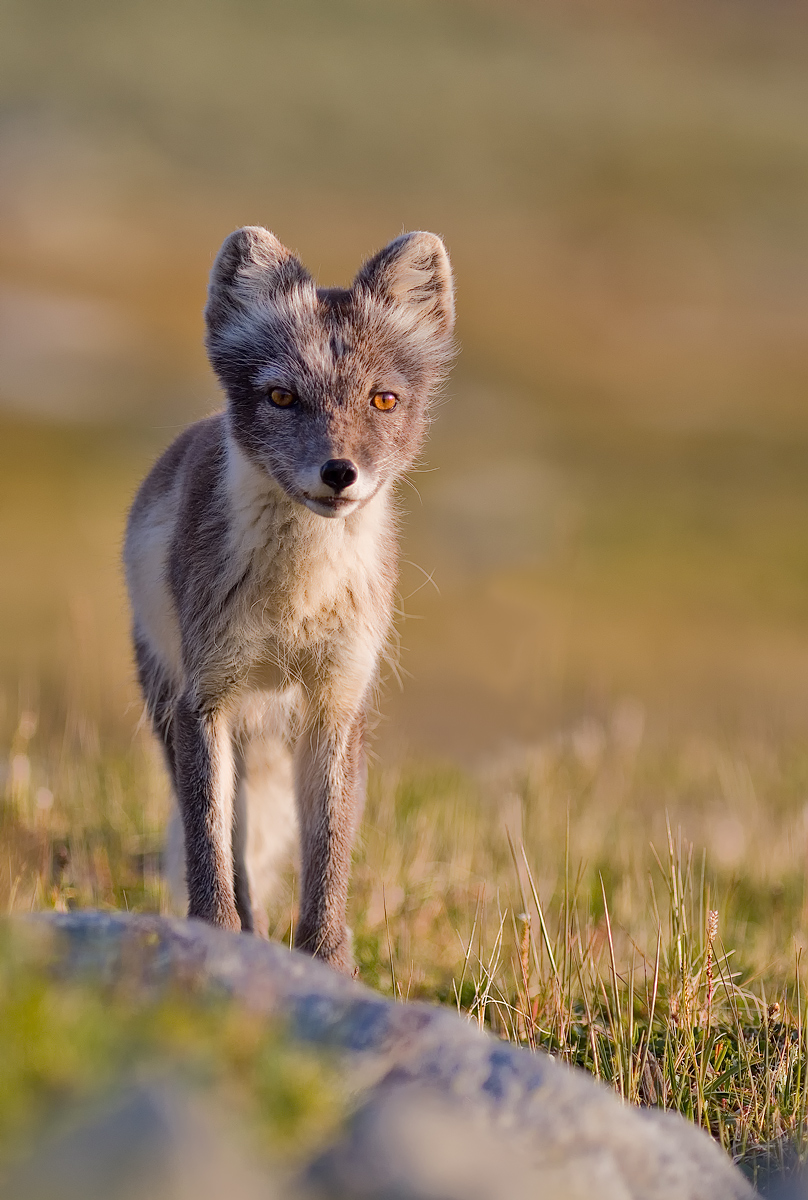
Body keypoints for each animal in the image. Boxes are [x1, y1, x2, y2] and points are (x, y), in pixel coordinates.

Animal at [125, 225, 453, 969]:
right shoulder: (205, 696)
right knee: (230, 843)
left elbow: (328, 851)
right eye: (281, 398)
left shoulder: (338, 701)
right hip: (175, 703)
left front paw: (326, 960)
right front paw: (218, 939)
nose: (339, 472)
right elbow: (211, 846)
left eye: (382, 400)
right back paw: (247, 932)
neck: (295, 604)